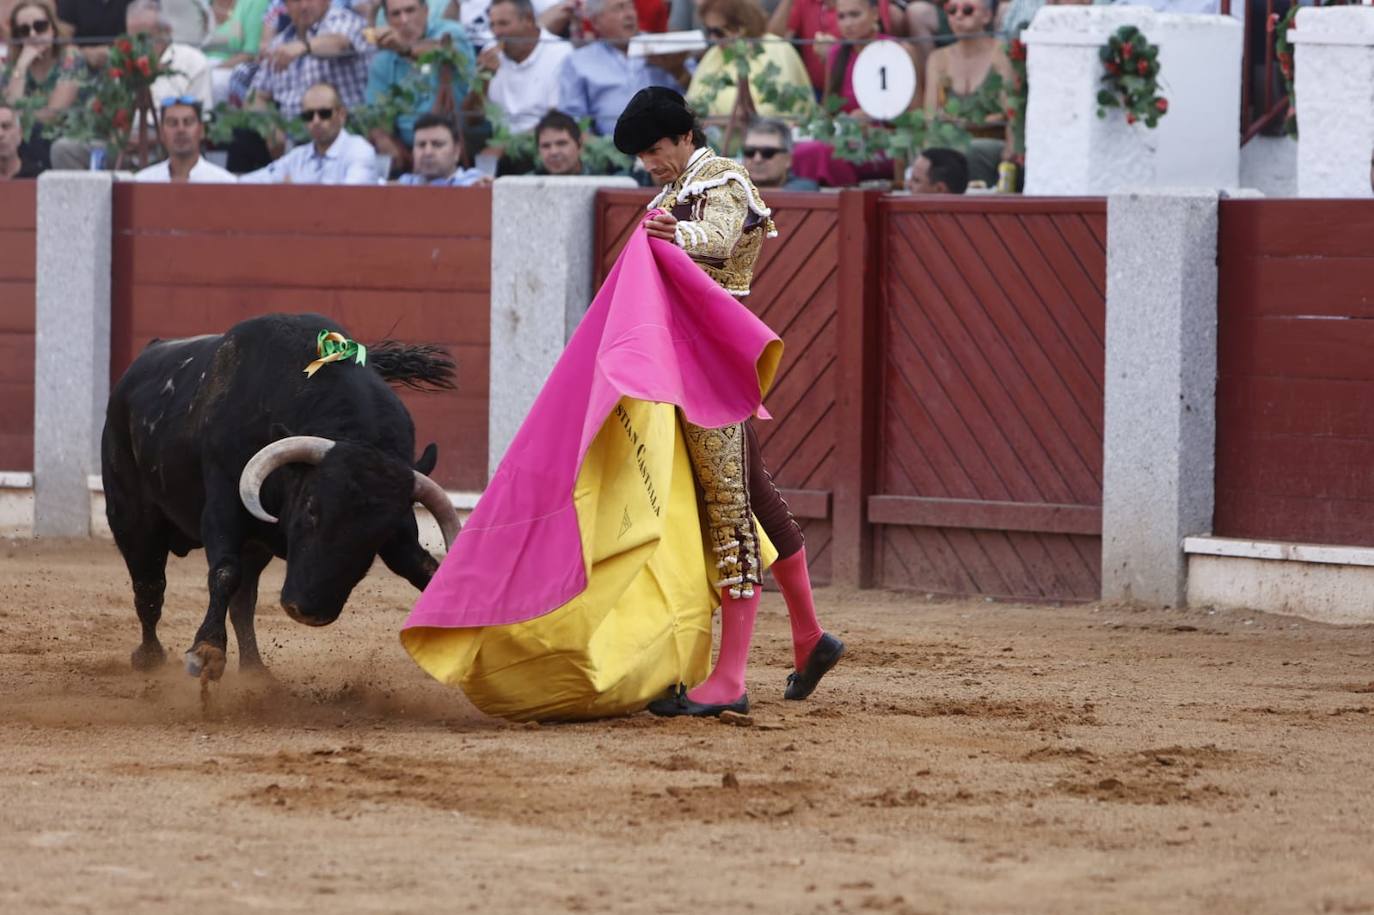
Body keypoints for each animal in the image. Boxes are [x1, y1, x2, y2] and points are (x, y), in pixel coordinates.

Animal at [101, 313, 464, 675]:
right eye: (311, 508)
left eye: (377, 535)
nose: (308, 611)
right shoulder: (223, 507)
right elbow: (223, 572)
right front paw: (206, 650)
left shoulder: (401, 532)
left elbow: (427, 571)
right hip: (131, 519)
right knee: (149, 588)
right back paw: (150, 658)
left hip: (253, 546)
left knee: (243, 601)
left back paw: (255, 672)